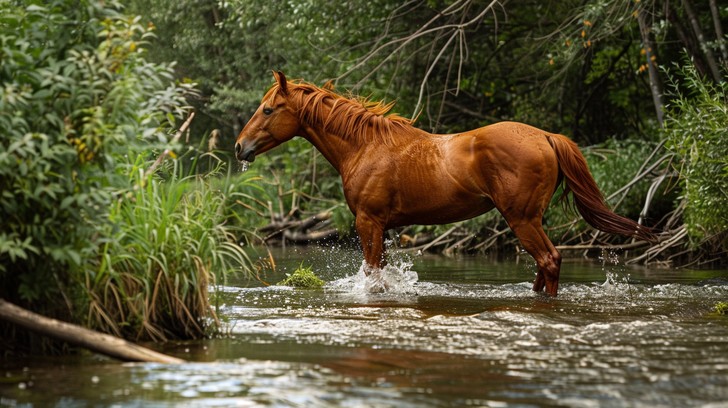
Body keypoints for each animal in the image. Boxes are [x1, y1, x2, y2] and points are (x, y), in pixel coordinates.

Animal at [235, 71, 654, 296]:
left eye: (268, 109)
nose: (240, 146)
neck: (365, 145)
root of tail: (546, 137)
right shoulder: (384, 227)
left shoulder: (368, 222)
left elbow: (372, 276)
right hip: (531, 219)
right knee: (545, 264)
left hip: (522, 218)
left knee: (549, 260)